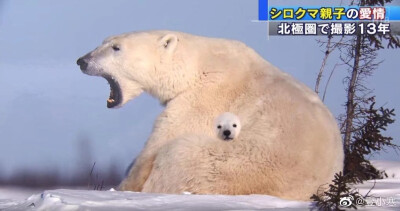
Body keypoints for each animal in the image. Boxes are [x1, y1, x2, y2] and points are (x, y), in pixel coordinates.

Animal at [76, 30, 342, 200]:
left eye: (116, 47)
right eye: (104, 41)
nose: (82, 60)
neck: (196, 65)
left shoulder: (205, 98)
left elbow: (160, 142)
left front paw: (122, 188)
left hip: (233, 166)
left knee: (178, 154)